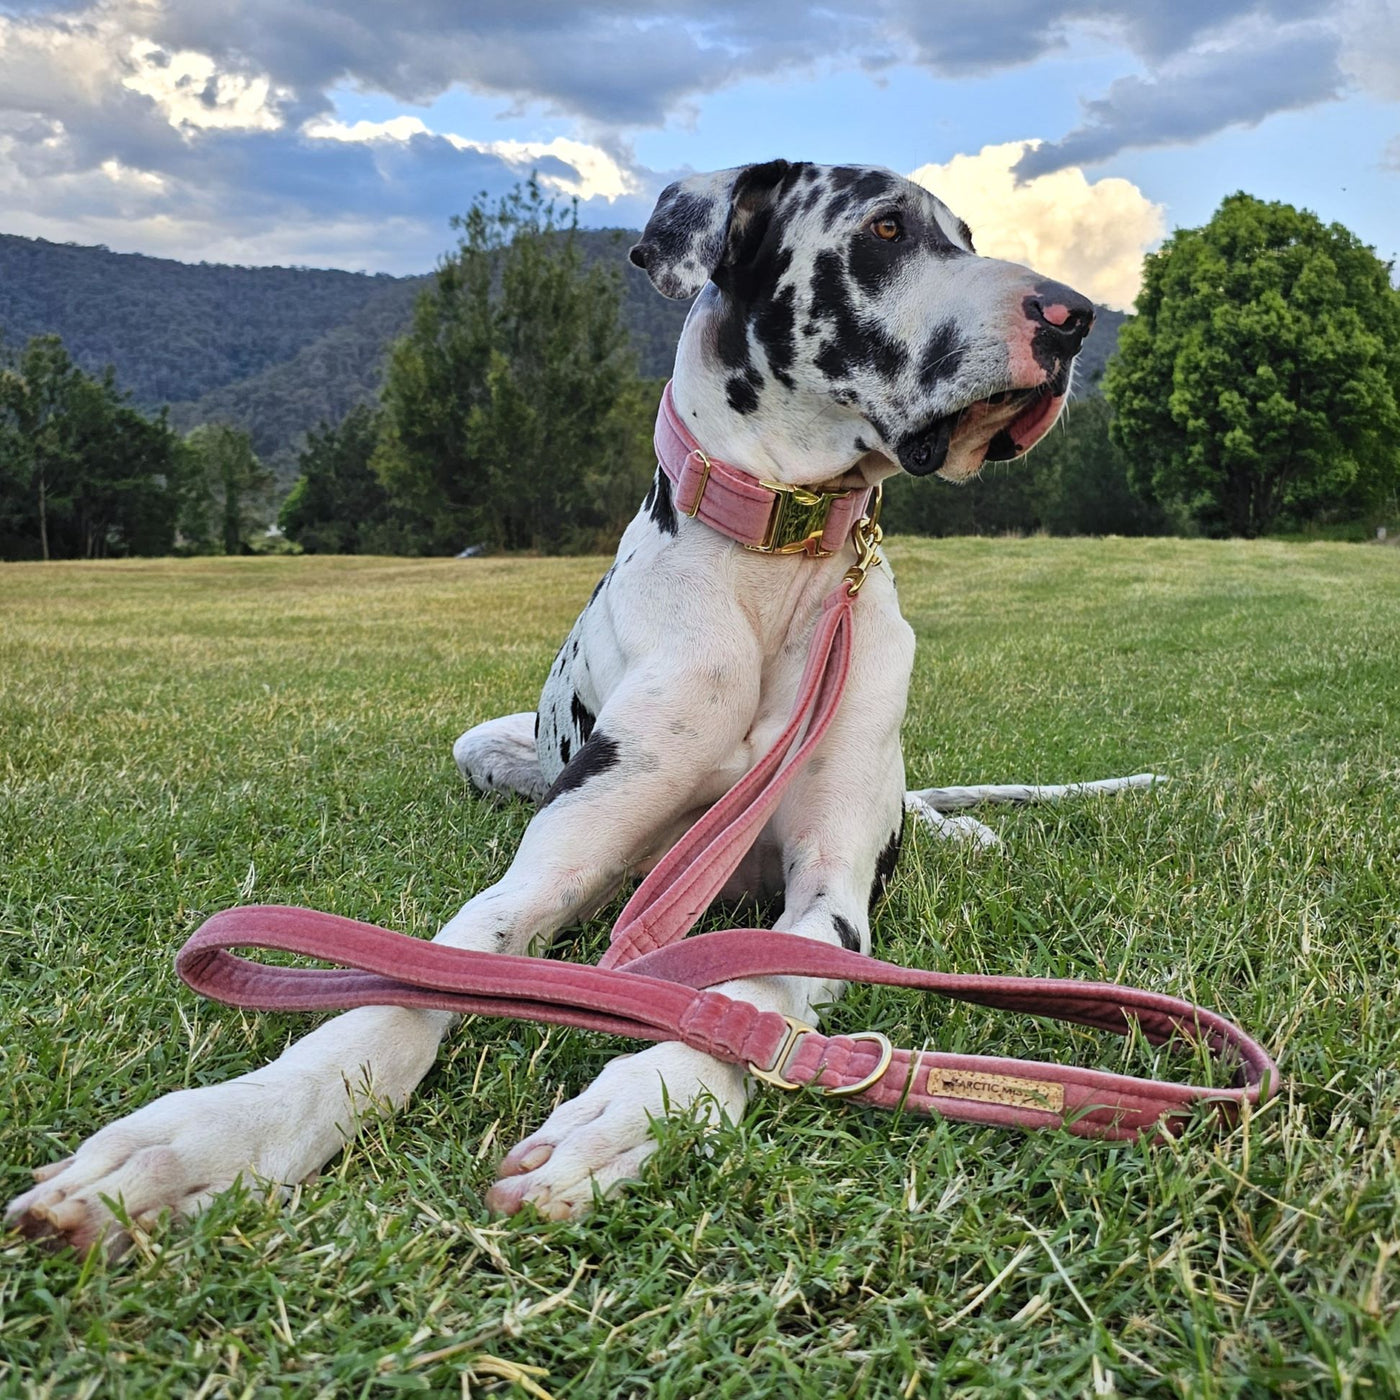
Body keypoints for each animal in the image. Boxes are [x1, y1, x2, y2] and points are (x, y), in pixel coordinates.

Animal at [8, 161, 1159, 1248]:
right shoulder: (552, 866)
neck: (772, 575)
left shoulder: (830, 895)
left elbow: (751, 992)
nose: (1072, 317)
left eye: (966, 235)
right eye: (885, 229)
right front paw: (216, 1131)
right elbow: (410, 979)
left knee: (911, 811)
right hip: (484, 745)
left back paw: (959, 828)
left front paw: (637, 1106)